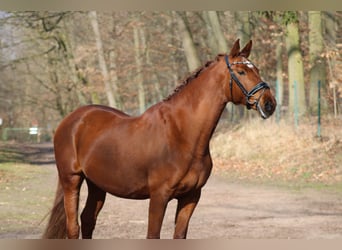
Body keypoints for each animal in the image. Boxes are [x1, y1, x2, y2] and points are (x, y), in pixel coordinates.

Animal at [44, 40, 276, 239]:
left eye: (257, 70)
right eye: (241, 71)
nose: (269, 104)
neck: (182, 134)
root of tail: (72, 119)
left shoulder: (191, 197)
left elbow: (179, 235)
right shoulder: (159, 197)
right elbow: (153, 235)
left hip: (97, 185)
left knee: (88, 219)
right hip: (71, 179)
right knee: (74, 226)